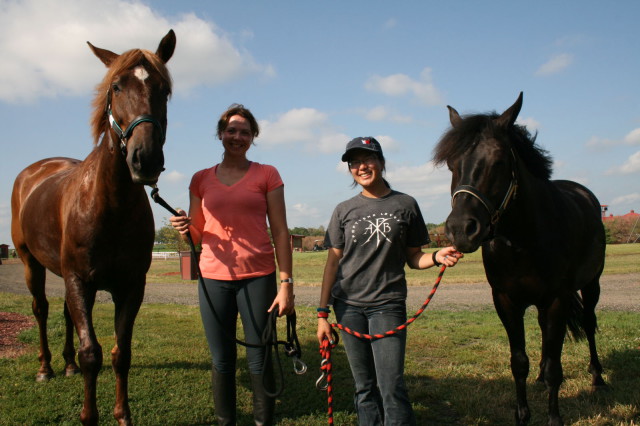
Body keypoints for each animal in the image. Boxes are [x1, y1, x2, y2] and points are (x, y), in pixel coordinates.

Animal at [12, 30, 176, 426]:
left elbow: (121, 353)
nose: (145, 158)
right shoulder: (79, 280)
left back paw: (67, 364)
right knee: (41, 309)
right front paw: (89, 416)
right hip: (31, 263)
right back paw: (46, 368)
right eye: (116, 86)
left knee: (65, 314)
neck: (109, 205)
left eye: (164, 89)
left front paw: (122, 415)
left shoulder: (130, 287)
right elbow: (92, 354)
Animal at [432, 92, 608, 422]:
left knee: (589, 323)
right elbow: (519, 362)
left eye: (499, 161)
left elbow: (555, 368)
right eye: (452, 164)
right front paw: (522, 415)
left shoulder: (556, 299)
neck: (522, 242)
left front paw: (554, 418)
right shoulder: (506, 301)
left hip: (592, 284)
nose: (461, 229)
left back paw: (597, 377)